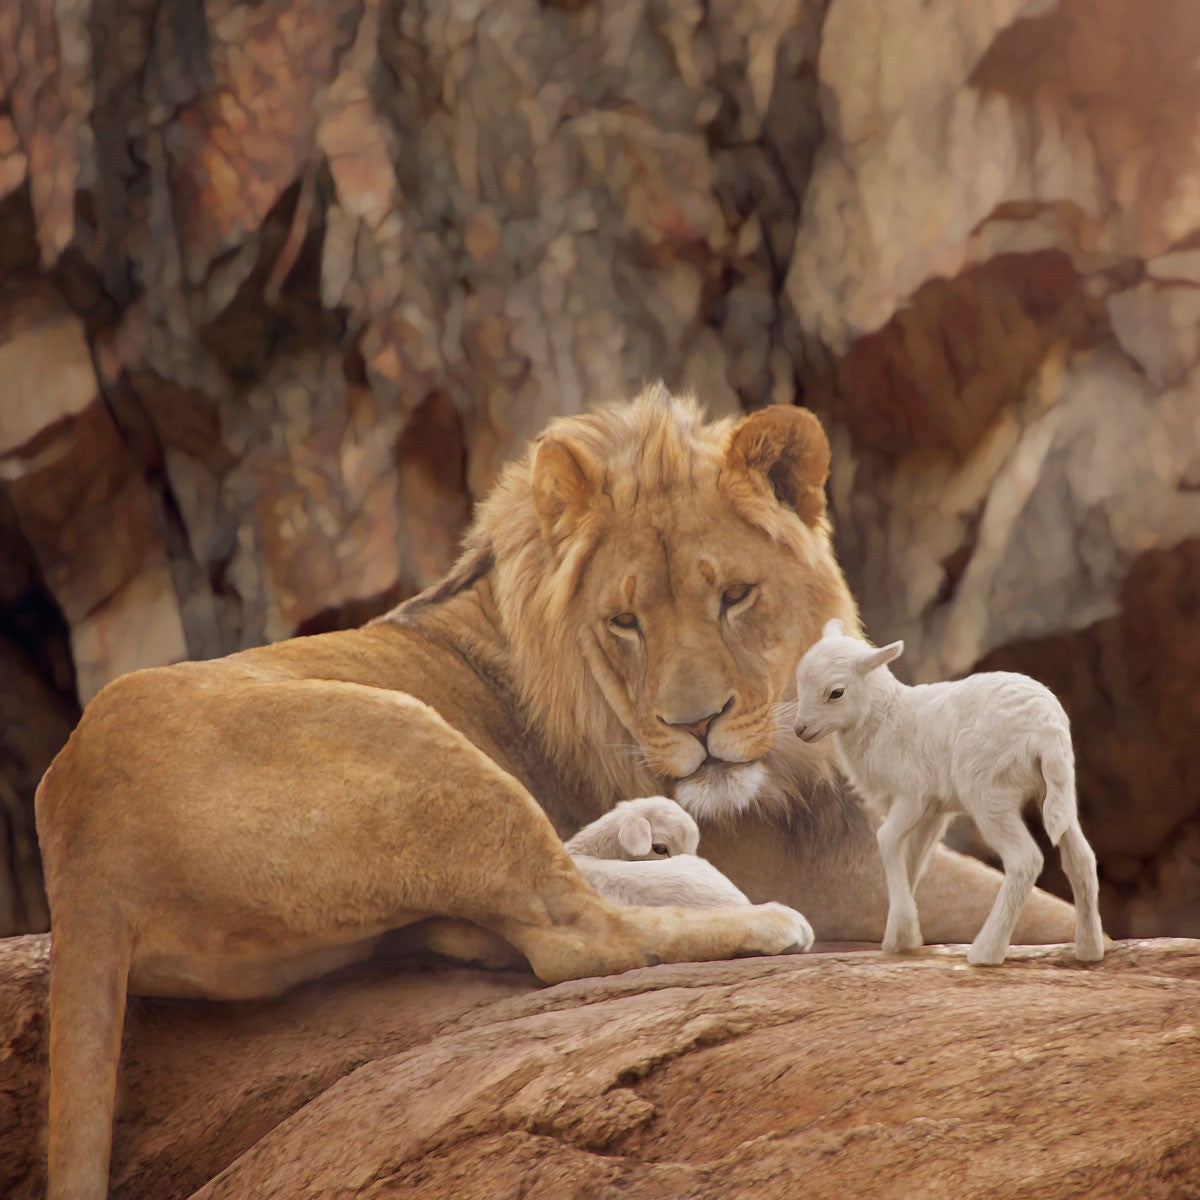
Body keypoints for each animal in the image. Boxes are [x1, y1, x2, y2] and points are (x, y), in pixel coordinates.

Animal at [792, 619, 1105, 966]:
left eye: (836, 692)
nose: (800, 729)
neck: (884, 719)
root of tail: (1047, 729)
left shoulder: (911, 795)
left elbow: (886, 840)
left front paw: (903, 931)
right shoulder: (933, 810)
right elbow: (913, 859)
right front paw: (901, 936)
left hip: (988, 792)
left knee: (1025, 860)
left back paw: (985, 952)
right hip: (1056, 789)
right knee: (1081, 858)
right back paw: (1089, 949)